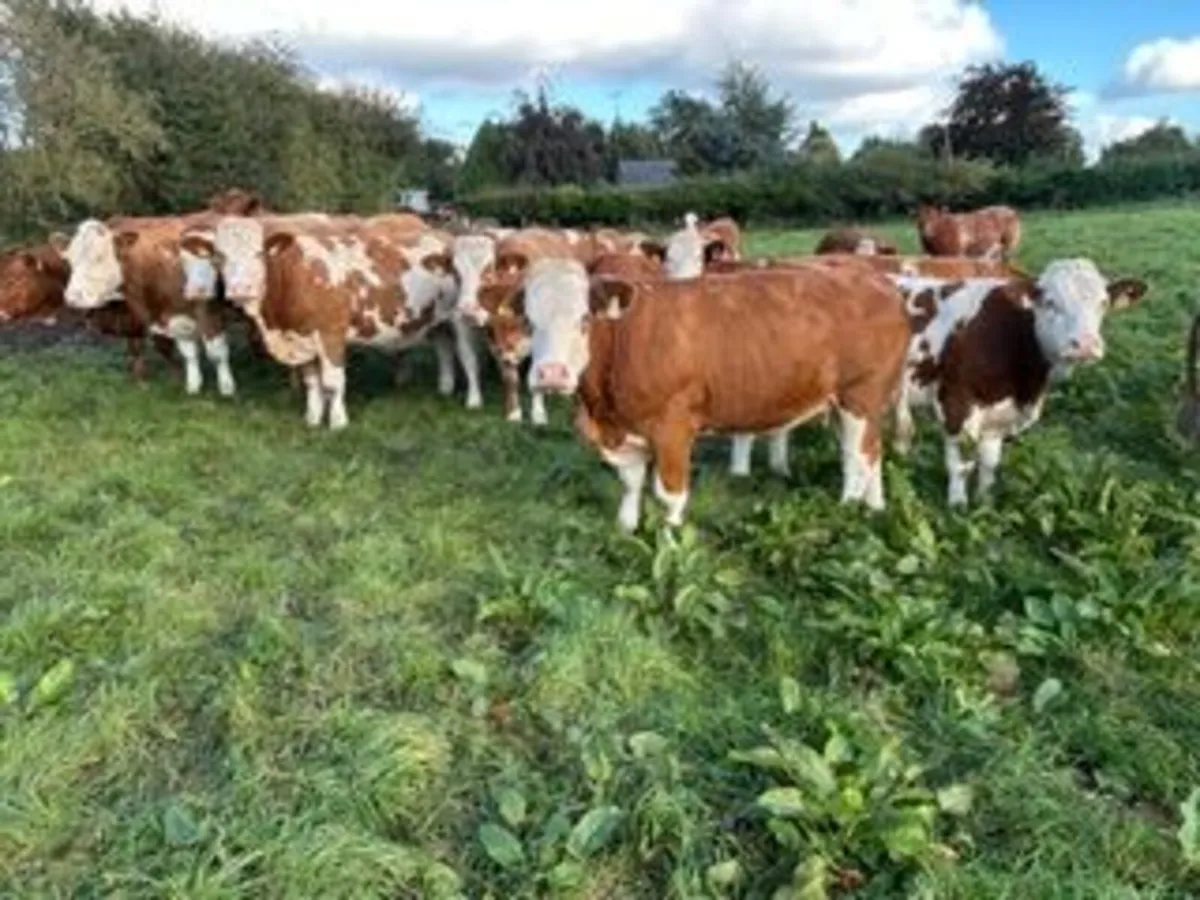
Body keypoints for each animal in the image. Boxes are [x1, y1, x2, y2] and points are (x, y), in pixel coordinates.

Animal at [62, 213, 238, 396]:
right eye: (70, 260)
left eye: (99, 257)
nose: (71, 297)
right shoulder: (176, 315)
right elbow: (188, 352)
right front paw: (193, 386)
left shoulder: (209, 312)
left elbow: (217, 353)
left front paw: (227, 388)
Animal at [179, 215, 474, 429]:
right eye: (219, 257)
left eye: (259, 253)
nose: (240, 288)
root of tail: (442, 234)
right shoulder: (302, 338)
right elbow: (312, 382)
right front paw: (312, 417)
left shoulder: (331, 333)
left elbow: (333, 382)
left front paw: (338, 421)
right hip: (435, 320)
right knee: (444, 349)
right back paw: (445, 388)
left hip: (459, 319)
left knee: (466, 357)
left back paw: (470, 399)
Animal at [513, 257, 909, 531]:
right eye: (529, 322)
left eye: (583, 319)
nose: (551, 374)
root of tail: (876, 280)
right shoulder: (623, 429)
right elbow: (630, 483)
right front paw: (625, 529)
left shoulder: (671, 427)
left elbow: (669, 495)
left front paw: (669, 541)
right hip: (853, 403)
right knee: (872, 452)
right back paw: (874, 509)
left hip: (860, 395)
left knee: (856, 458)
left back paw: (846, 511)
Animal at [891, 259, 1148, 505]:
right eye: (1050, 302)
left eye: (1102, 303)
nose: (1085, 345)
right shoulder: (955, 403)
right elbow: (961, 465)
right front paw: (957, 507)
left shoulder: (999, 416)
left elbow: (989, 464)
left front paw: (984, 503)